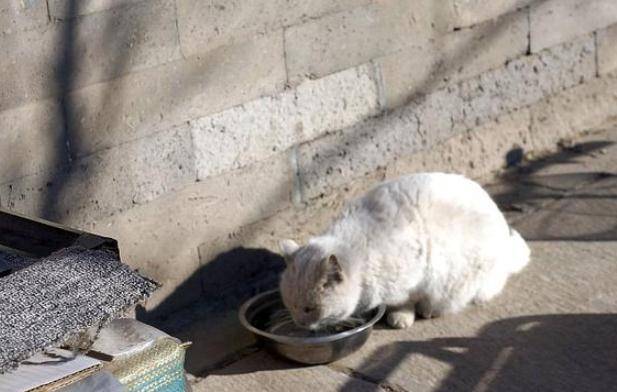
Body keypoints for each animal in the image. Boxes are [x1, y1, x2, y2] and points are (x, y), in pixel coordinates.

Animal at [280, 173, 528, 330]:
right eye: (290, 306)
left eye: (309, 309)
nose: (299, 323)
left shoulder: (413, 280)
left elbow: (404, 302)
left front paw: (400, 317)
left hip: (465, 279)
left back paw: (430, 311)